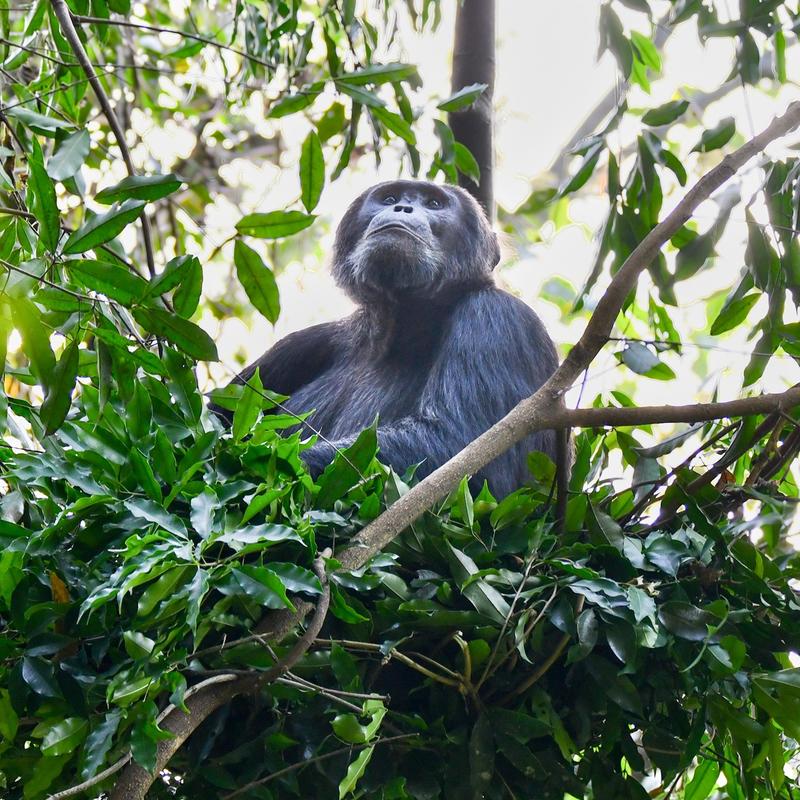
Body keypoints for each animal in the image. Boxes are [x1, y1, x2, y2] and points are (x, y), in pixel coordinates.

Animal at [219, 180, 560, 498]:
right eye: (390, 198)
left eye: (434, 203)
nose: (403, 207)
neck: (402, 325)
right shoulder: (308, 340)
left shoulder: (499, 320)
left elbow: (462, 448)